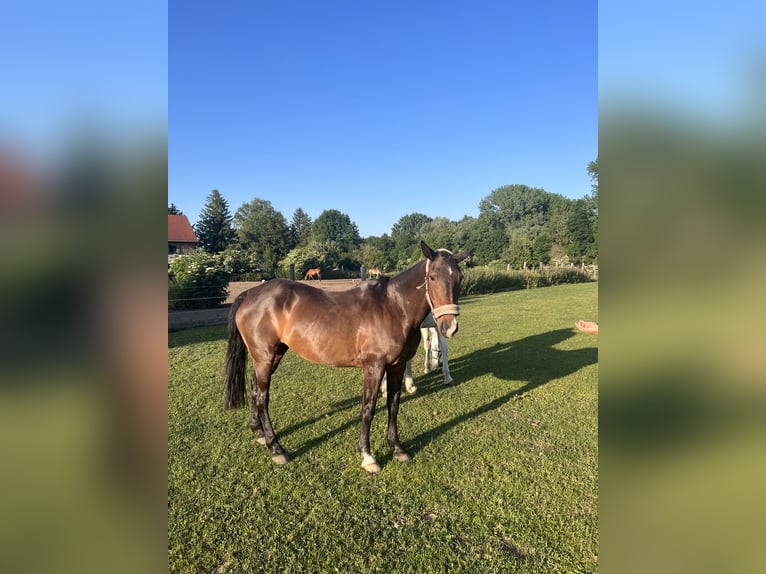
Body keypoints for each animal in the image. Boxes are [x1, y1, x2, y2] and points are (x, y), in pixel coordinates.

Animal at [225, 241, 472, 474]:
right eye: (432, 277)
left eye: (459, 277)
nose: (449, 326)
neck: (393, 307)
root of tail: (250, 294)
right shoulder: (373, 367)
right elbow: (368, 409)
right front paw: (368, 456)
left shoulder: (397, 366)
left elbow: (393, 405)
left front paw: (397, 448)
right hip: (264, 358)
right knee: (262, 398)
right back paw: (276, 448)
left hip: (273, 355)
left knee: (254, 387)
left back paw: (258, 432)